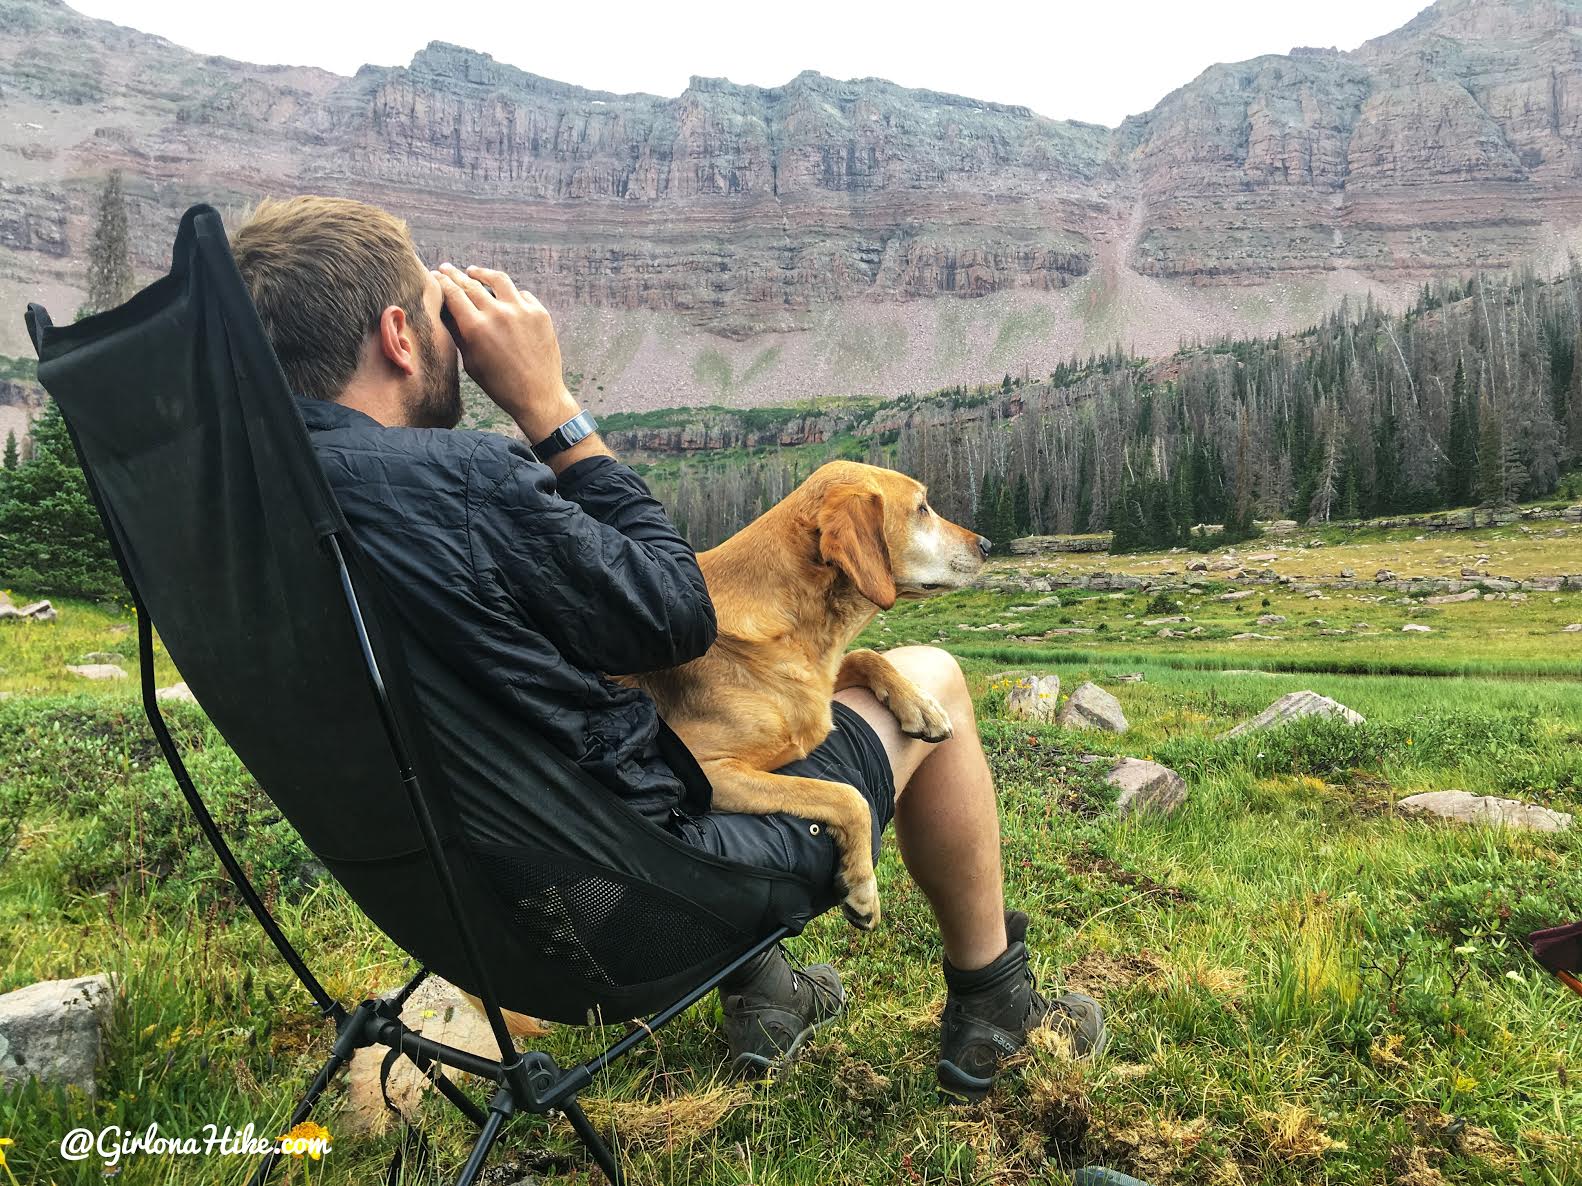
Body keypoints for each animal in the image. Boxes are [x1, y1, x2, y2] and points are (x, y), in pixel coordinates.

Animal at [632, 458, 987, 936]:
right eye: (921, 508)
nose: (988, 545)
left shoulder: (820, 685)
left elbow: (866, 655)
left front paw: (921, 704)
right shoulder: (710, 772)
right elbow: (847, 797)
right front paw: (862, 887)